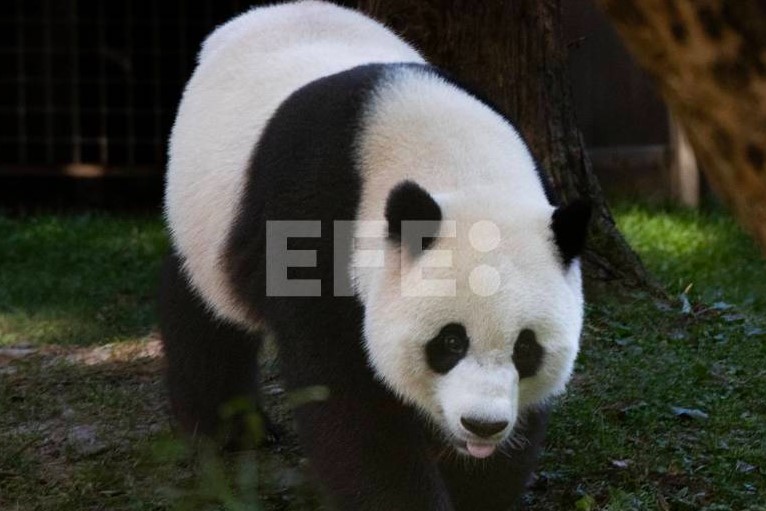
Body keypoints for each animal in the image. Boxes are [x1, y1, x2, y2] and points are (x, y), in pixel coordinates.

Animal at [160, 2, 592, 510]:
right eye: (450, 341)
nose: (482, 425)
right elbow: (353, 401)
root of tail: (262, 13)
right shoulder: (312, 222)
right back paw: (228, 429)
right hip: (203, 207)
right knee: (204, 309)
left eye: (526, 348)